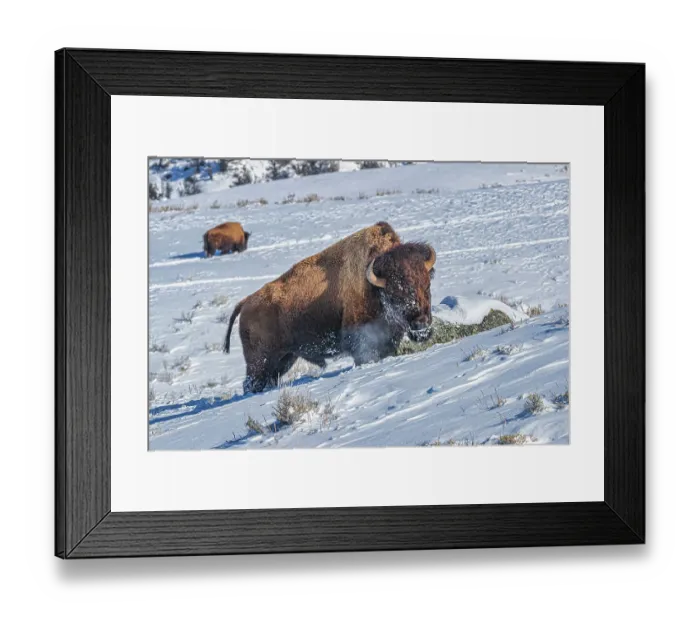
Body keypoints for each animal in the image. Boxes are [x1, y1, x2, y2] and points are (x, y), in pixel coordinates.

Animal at [223, 221, 436, 393]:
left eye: (427, 285)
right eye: (395, 294)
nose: (421, 325)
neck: (374, 287)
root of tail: (246, 302)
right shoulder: (363, 344)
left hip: (284, 359)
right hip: (260, 362)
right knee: (251, 383)